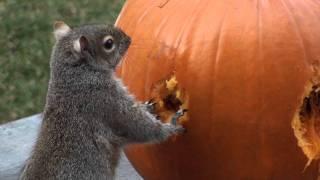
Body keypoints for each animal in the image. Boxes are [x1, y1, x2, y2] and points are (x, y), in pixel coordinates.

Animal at [18, 21, 186, 180]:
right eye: (108, 43)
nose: (129, 39)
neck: (75, 77)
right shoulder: (105, 100)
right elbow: (140, 126)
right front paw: (172, 125)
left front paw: (147, 107)